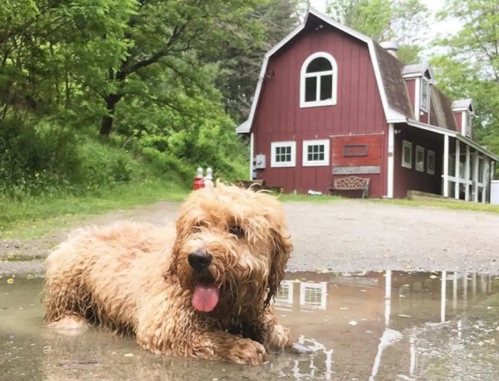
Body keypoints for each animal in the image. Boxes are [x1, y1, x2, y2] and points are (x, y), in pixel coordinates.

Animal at [43, 181, 294, 366]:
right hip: (68, 279)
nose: (197, 258)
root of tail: (77, 234)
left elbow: (279, 334)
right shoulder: (164, 324)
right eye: (198, 225)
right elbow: (209, 338)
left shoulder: (252, 308)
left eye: (237, 229)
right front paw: (242, 346)